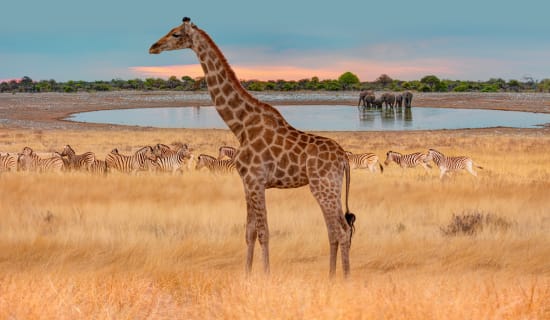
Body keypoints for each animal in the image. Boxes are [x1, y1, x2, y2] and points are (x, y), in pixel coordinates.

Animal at [151, 17, 358, 278]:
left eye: (176, 34)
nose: (154, 47)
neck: (240, 125)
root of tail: (344, 158)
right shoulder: (247, 182)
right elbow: (249, 232)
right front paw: (247, 275)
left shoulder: (255, 180)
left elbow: (263, 232)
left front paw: (266, 275)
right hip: (332, 187)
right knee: (337, 229)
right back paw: (332, 277)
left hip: (323, 187)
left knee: (341, 230)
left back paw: (344, 278)